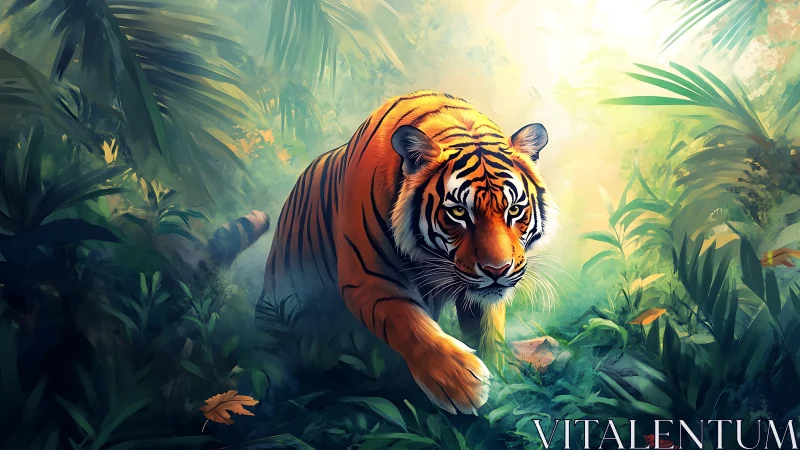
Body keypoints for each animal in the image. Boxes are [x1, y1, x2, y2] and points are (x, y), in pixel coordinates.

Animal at [256, 90, 556, 414]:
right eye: (459, 212)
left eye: (514, 210)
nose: (497, 271)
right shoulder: (367, 278)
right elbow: (409, 325)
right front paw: (462, 384)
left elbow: (488, 329)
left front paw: (501, 378)